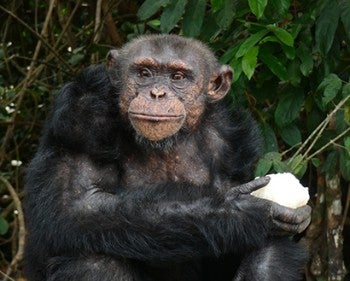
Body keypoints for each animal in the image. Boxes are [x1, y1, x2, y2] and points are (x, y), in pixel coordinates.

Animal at [22, 35, 312, 280]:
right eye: (144, 73)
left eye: (178, 76)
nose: (157, 93)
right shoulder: (82, 119)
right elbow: (78, 203)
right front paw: (243, 211)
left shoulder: (234, 143)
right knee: (93, 256)